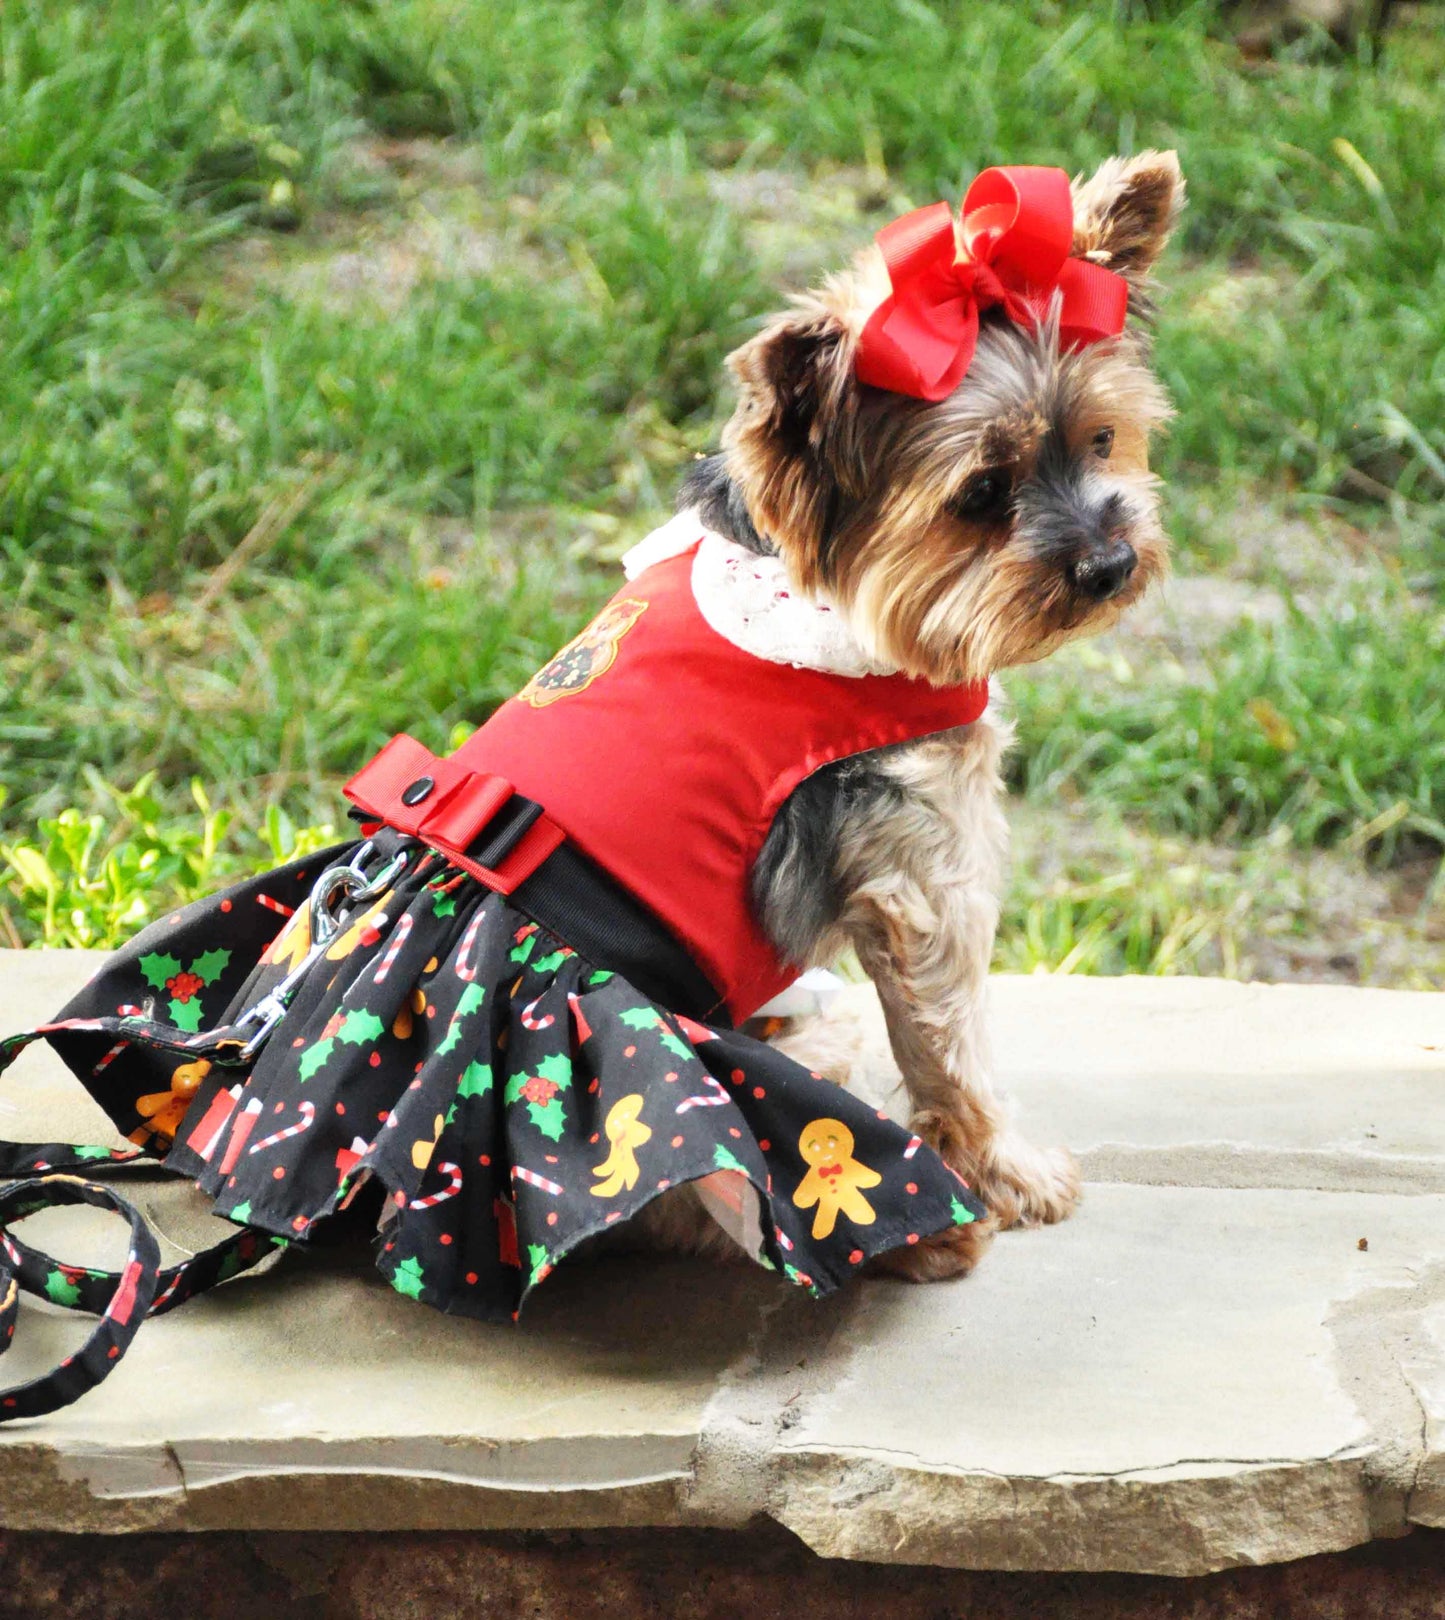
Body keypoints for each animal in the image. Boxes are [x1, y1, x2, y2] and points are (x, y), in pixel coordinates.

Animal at [625, 154, 1179, 1289]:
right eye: (979, 493)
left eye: (1102, 438)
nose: (1109, 564)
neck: (819, 602)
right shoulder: (921, 872)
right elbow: (953, 1046)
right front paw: (1011, 1176)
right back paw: (927, 1232)